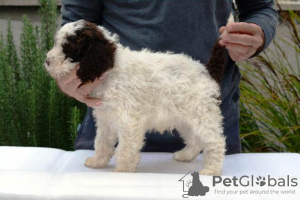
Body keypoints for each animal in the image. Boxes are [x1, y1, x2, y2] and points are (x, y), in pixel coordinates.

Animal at [45, 19, 227, 174]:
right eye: (56, 42)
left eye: (68, 48)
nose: (47, 61)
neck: (111, 70)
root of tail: (206, 71)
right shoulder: (105, 118)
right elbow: (101, 142)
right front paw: (98, 161)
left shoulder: (128, 121)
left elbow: (125, 148)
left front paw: (122, 171)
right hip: (185, 118)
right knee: (195, 140)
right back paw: (185, 155)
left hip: (201, 115)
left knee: (215, 142)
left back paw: (211, 170)